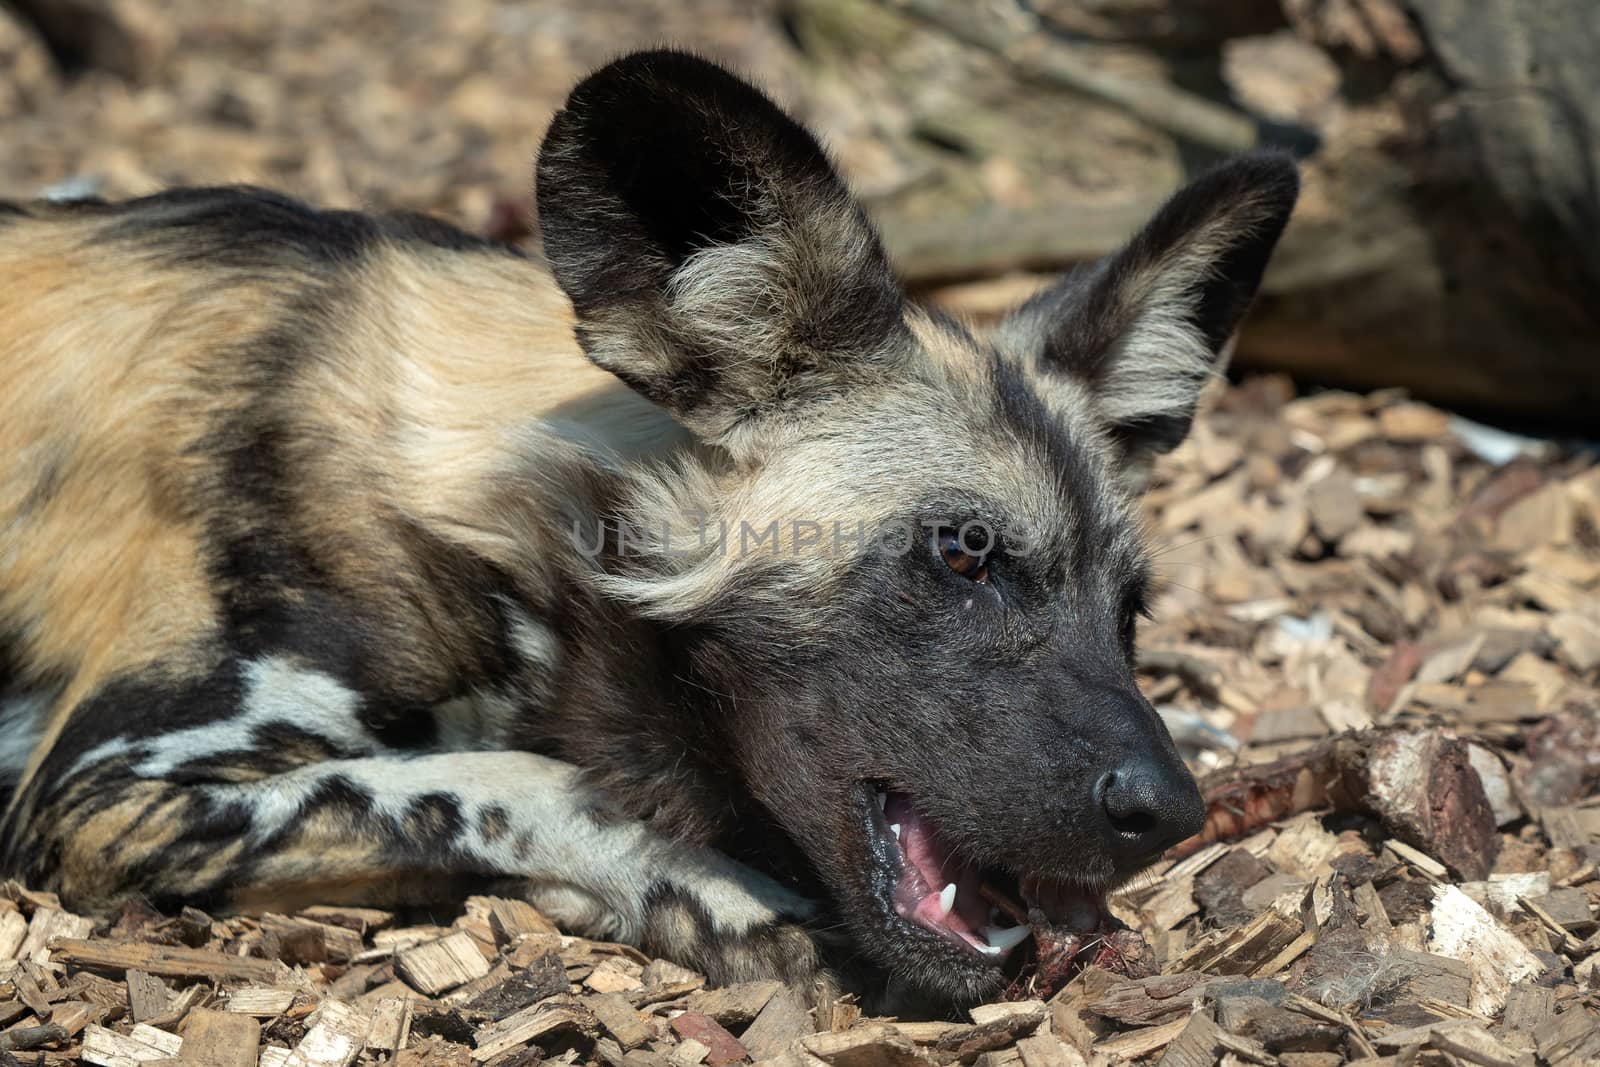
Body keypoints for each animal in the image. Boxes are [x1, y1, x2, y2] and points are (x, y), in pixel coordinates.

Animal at [0, 49, 1292, 1011]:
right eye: (963, 554)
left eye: (1129, 612)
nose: (1168, 813)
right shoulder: (102, 794)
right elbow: (510, 775)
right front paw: (713, 894)